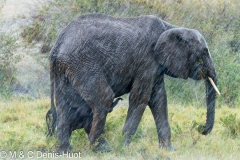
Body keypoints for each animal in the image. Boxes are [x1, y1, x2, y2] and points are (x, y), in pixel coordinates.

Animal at [49, 13, 219, 152]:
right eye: (202, 54)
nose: (200, 128)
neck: (170, 27)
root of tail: (58, 43)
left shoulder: (157, 66)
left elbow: (159, 100)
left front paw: (169, 150)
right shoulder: (147, 59)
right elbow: (140, 98)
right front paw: (124, 146)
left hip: (64, 69)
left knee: (63, 104)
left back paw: (65, 150)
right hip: (82, 63)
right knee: (104, 98)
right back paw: (99, 148)